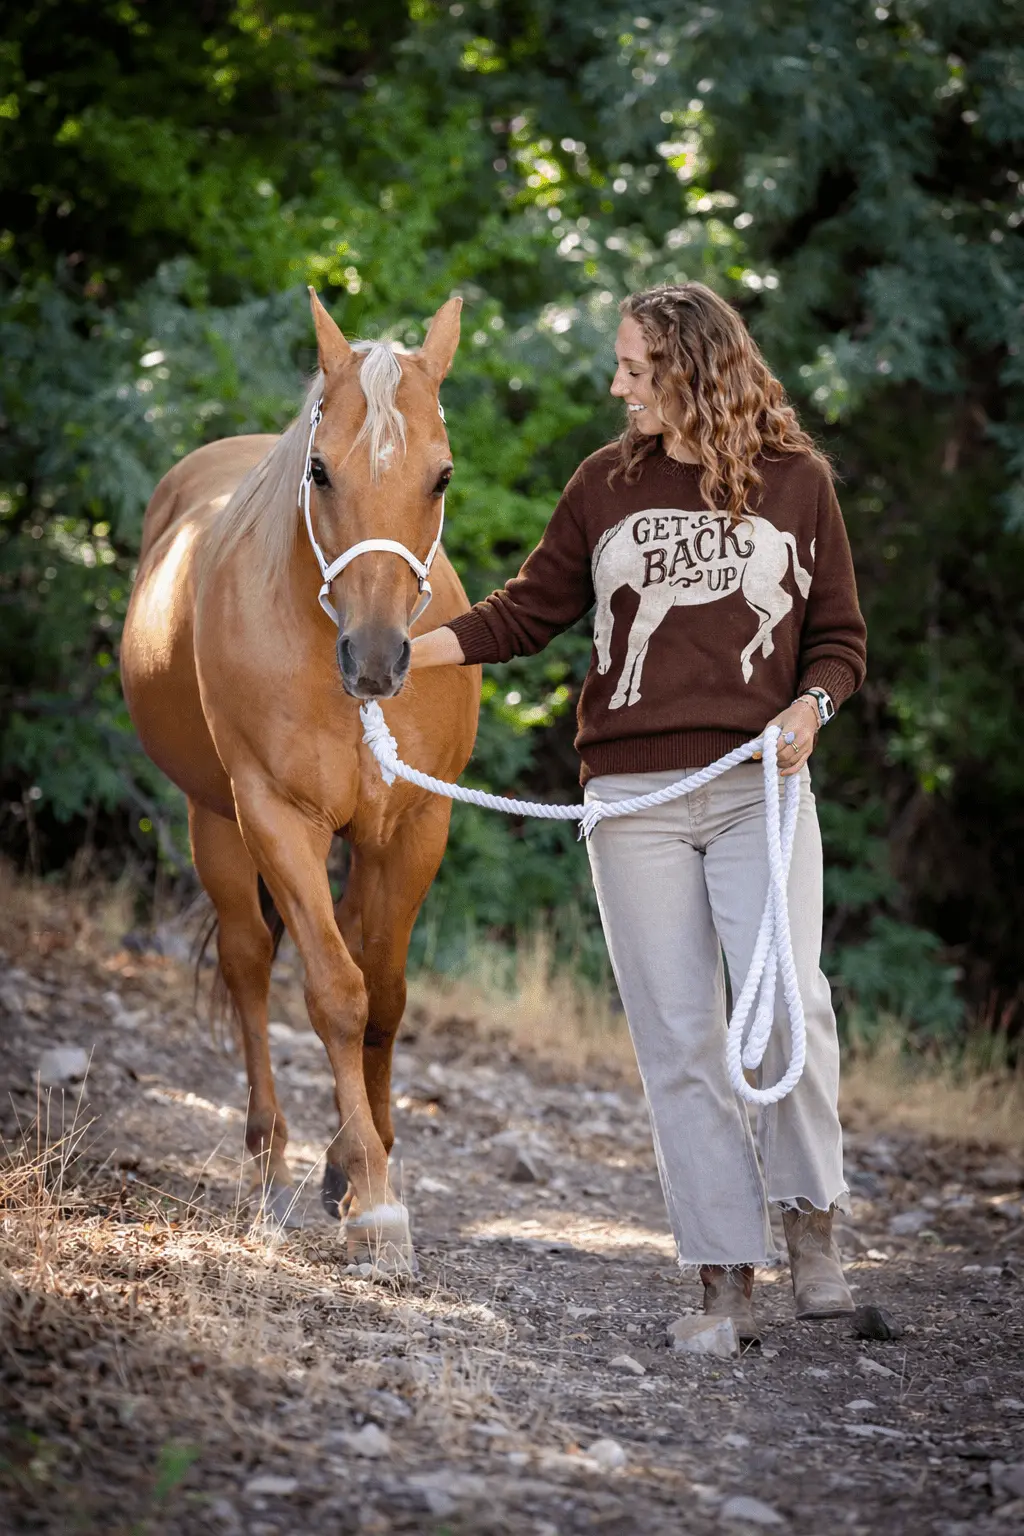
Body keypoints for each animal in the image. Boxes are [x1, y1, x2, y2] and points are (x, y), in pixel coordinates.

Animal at [120, 290, 480, 1269]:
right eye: (319, 471)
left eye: (440, 477)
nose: (377, 659)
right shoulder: (278, 818)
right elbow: (336, 994)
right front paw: (376, 1200)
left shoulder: (413, 830)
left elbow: (385, 996)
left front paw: (364, 1169)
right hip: (214, 820)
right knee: (249, 964)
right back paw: (272, 1166)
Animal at [591, 508, 813, 708]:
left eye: (595, 635)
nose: (602, 667)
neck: (631, 553)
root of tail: (780, 536)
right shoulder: (648, 603)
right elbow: (642, 646)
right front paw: (633, 695)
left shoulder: (657, 601)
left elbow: (635, 643)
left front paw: (618, 696)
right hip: (752, 592)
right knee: (768, 614)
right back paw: (762, 653)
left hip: (756, 587)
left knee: (783, 603)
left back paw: (745, 659)